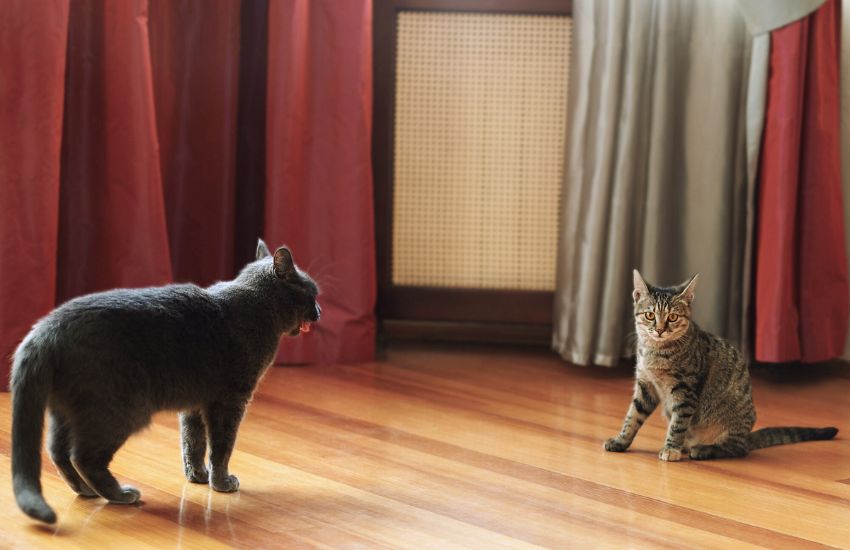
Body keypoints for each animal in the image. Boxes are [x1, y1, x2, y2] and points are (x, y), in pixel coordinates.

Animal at [9, 242, 322, 528]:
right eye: (312, 293)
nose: (319, 310)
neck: (259, 309)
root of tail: (44, 330)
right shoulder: (230, 401)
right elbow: (222, 446)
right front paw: (222, 483)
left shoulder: (195, 405)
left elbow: (192, 443)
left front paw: (198, 477)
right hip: (120, 410)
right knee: (85, 456)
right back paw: (120, 494)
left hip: (66, 409)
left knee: (57, 451)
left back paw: (86, 491)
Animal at [604, 270, 836, 462]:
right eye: (650, 315)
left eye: (673, 317)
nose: (660, 330)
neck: (656, 351)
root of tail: (747, 435)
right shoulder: (645, 384)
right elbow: (633, 416)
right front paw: (621, 441)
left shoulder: (685, 391)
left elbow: (678, 424)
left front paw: (670, 448)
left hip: (731, 422)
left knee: (736, 449)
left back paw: (703, 449)